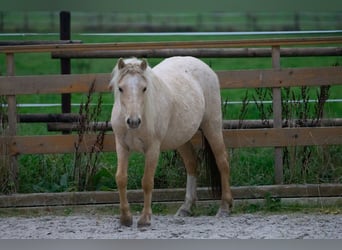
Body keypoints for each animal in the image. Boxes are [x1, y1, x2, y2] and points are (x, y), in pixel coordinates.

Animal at [109, 56, 232, 227]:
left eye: (144, 88)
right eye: (120, 88)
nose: (133, 121)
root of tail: (203, 65)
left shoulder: (153, 148)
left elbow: (147, 182)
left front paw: (145, 219)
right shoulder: (121, 146)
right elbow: (121, 178)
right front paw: (126, 218)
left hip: (212, 126)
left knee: (222, 162)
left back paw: (224, 208)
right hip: (181, 138)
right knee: (192, 164)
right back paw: (186, 208)